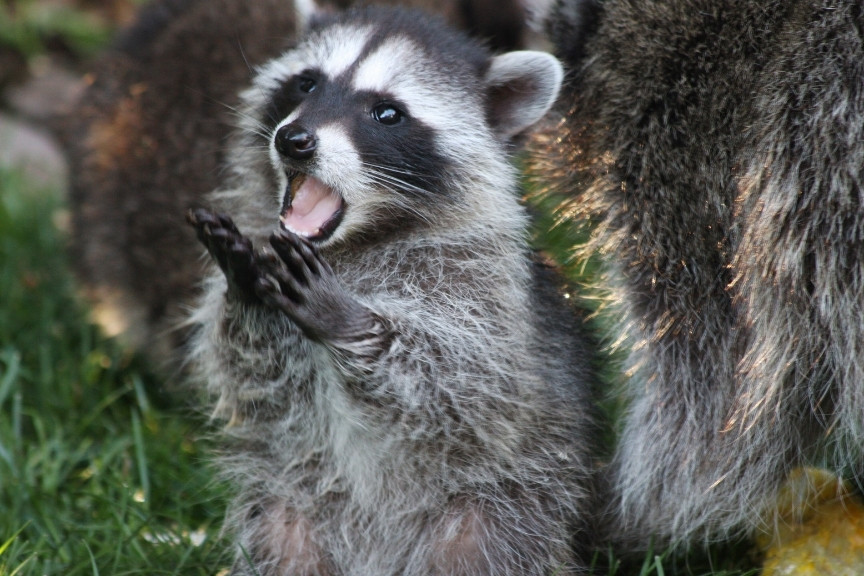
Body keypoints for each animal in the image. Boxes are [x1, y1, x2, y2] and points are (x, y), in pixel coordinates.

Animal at [186, 5, 596, 576]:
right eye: (307, 83)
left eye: (386, 113)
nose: (294, 140)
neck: (353, 241)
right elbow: (253, 377)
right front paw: (247, 290)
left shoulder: (488, 292)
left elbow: (465, 389)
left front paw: (351, 322)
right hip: (290, 504)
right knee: (280, 538)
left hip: (504, 508)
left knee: (487, 545)